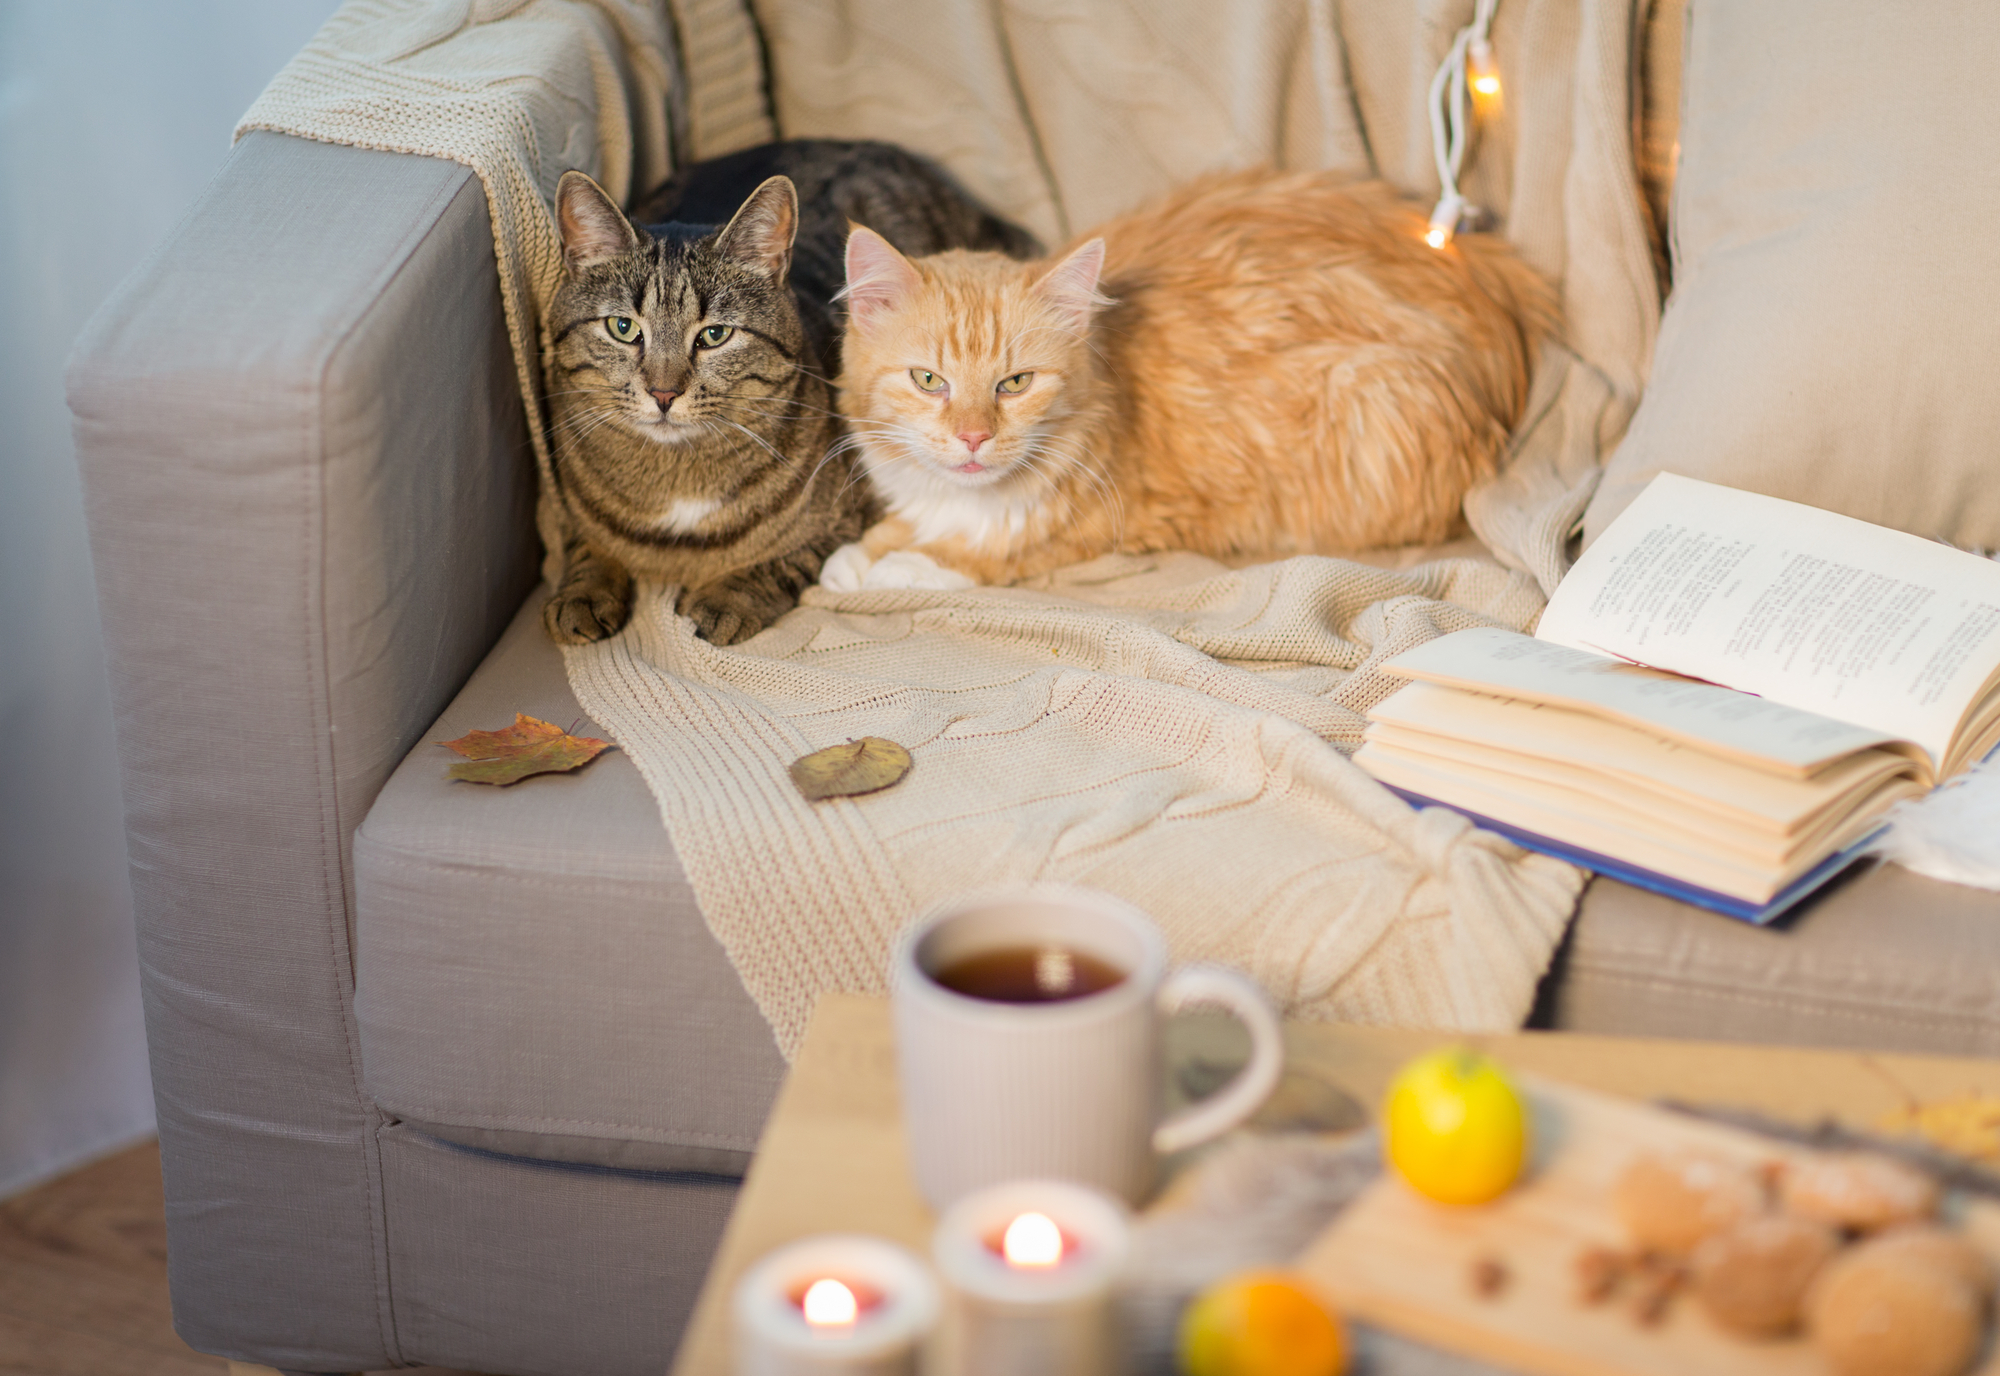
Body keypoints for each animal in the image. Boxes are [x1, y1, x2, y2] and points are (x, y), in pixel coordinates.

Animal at [540, 140, 1040, 644]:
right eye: (622, 328)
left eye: (715, 335)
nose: (663, 393)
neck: (677, 477)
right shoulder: (564, 507)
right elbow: (584, 543)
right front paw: (582, 593)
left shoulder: (850, 516)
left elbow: (783, 560)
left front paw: (727, 598)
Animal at [820, 169, 1552, 588]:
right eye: (928, 380)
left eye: (1015, 384)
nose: (973, 438)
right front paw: (864, 552)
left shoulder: (1122, 520)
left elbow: (1005, 550)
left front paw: (910, 562)